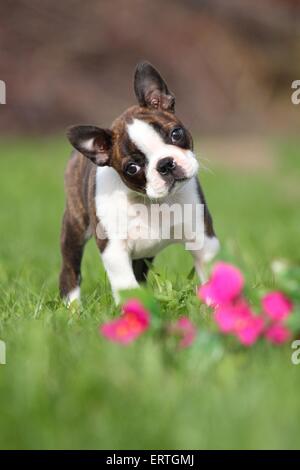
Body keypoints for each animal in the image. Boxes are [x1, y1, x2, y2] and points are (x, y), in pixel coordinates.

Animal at [59, 61, 219, 304]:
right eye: (132, 168)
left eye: (176, 133)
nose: (166, 164)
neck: (153, 203)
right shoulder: (114, 249)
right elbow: (126, 285)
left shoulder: (203, 240)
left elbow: (213, 275)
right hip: (75, 226)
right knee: (70, 268)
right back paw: (72, 305)